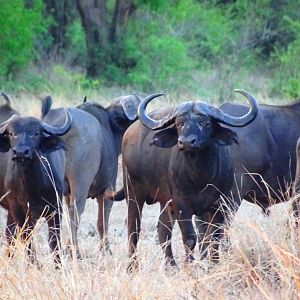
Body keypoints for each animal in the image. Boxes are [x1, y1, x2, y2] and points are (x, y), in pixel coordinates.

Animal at [41, 94, 140, 255]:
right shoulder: (107, 189)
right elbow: (102, 221)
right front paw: (106, 249)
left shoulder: (66, 194)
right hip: (81, 182)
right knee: (75, 212)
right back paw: (76, 252)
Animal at [120, 90, 300, 268]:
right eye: (179, 124)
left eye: (206, 124)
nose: (186, 142)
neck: (199, 177)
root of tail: (130, 131)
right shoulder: (182, 204)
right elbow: (190, 238)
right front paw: (191, 267)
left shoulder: (217, 204)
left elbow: (213, 236)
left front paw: (214, 264)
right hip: (134, 192)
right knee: (133, 227)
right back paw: (132, 267)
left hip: (167, 201)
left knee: (163, 228)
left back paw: (171, 266)